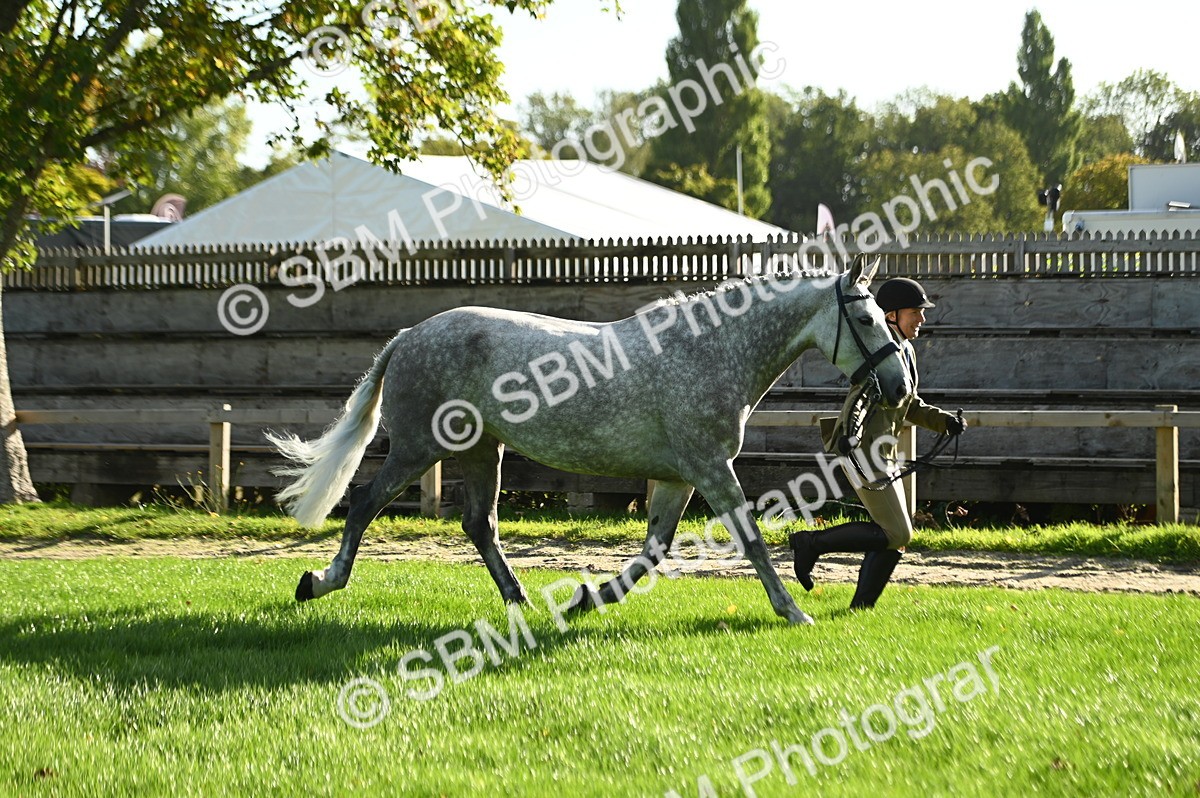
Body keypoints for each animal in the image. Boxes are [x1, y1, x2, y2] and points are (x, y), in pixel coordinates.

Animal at [267, 256, 910, 625]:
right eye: (868, 320)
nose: (900, 386)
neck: (710, 351)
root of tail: (406, 336)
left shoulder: (677, 478)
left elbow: (652, 552)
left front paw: (583, 601)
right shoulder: (709, 467)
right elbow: (749, 540)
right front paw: (793, 611)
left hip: (482, 450)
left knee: (479, 524)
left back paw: (522, 603)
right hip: (418, 449)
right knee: (364, 505)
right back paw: (318, 582)